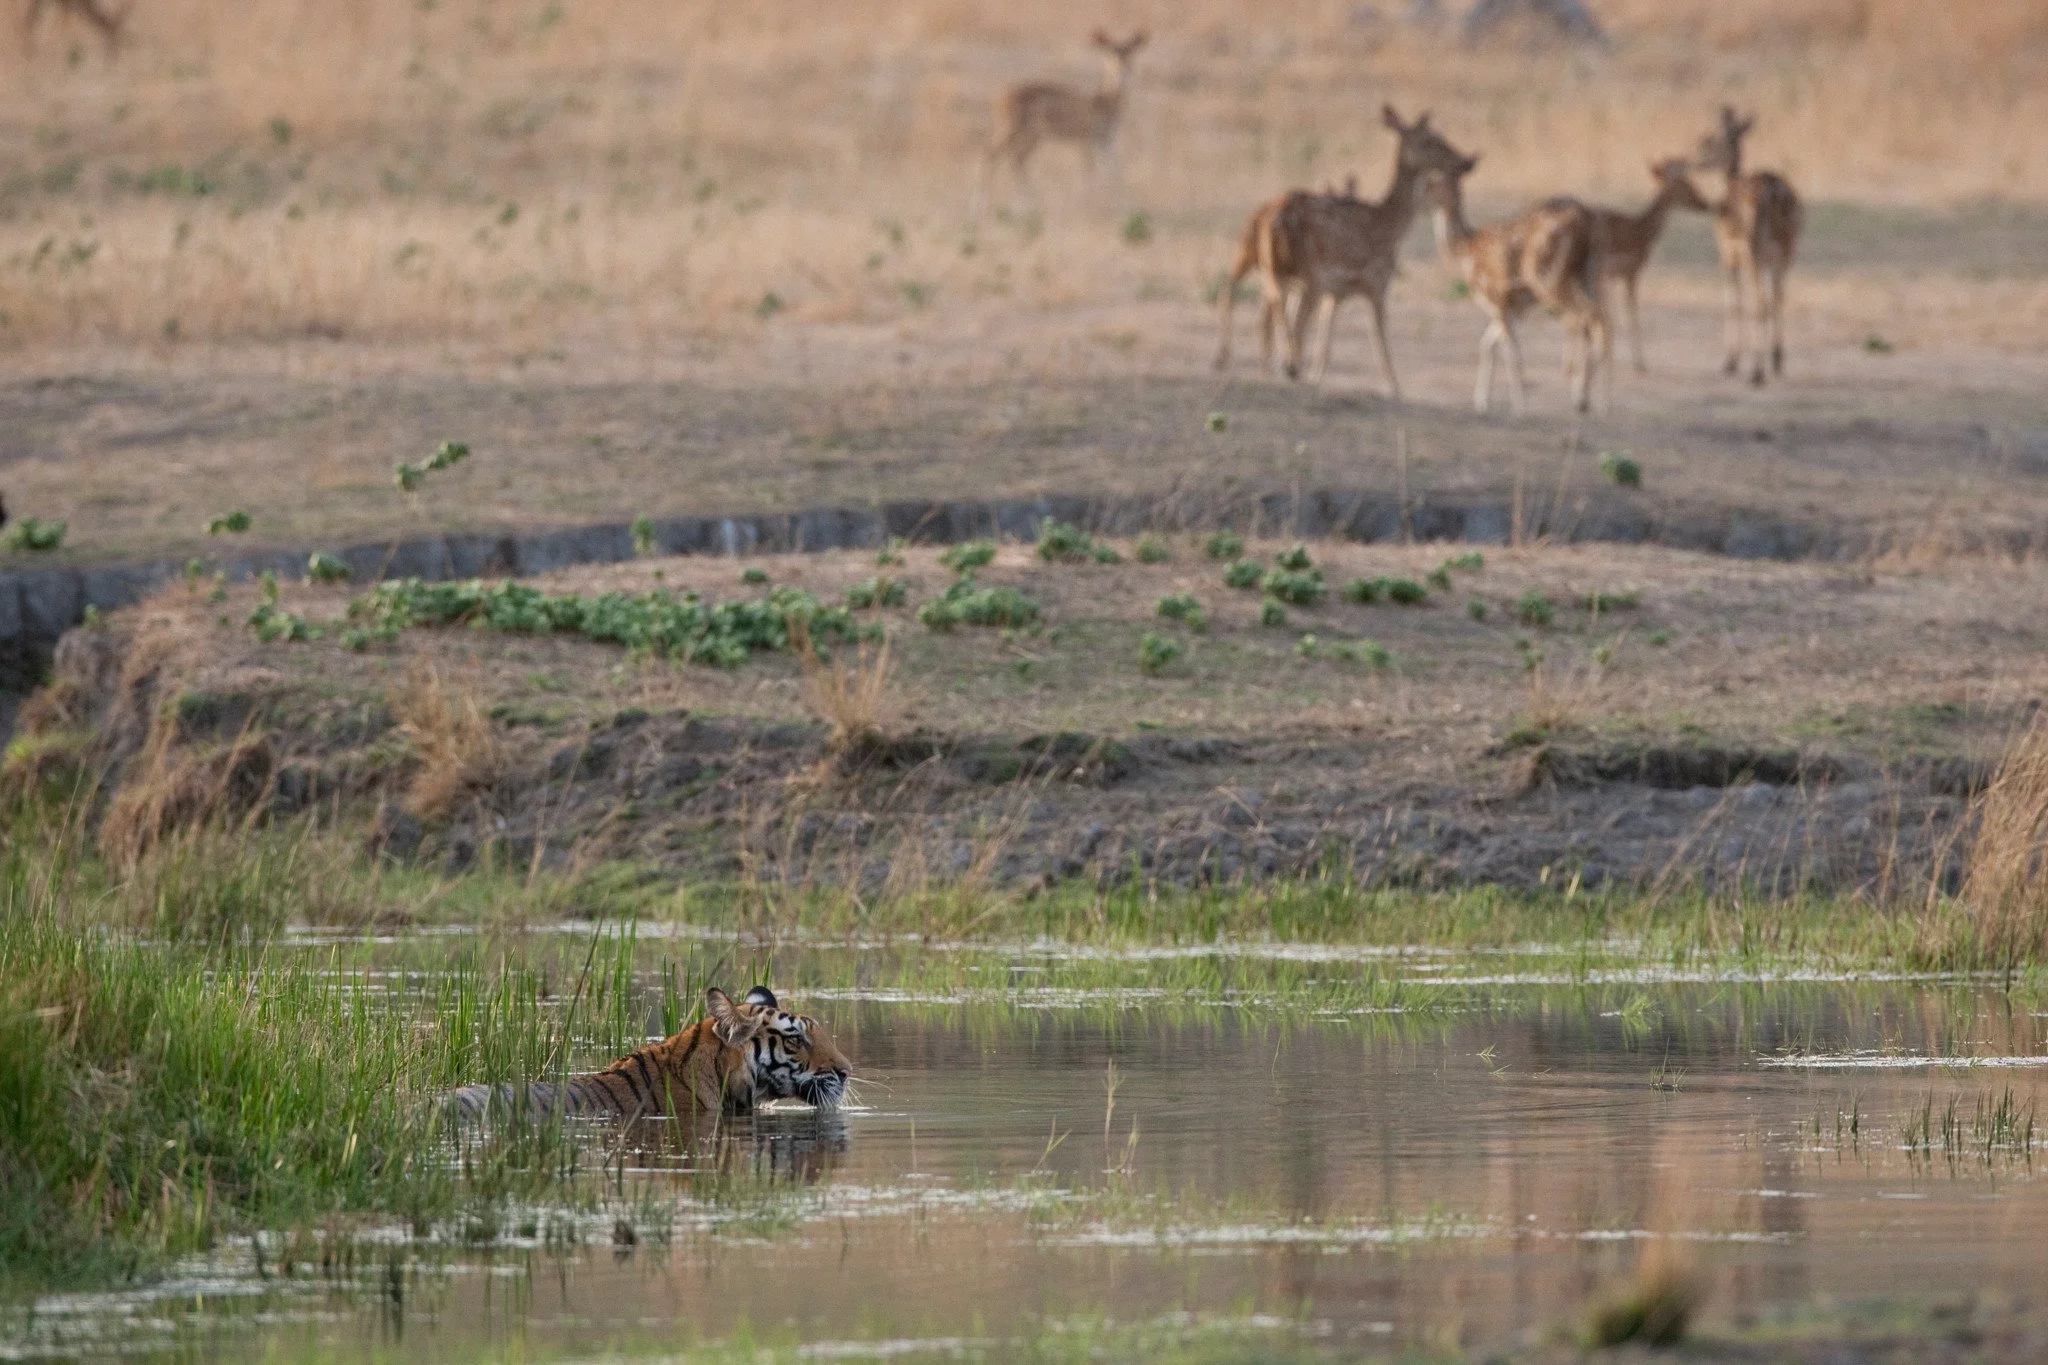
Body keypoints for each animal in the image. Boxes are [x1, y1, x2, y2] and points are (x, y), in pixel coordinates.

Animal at [985, 30, 1147, 191]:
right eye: (1110, 52)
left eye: (1130, 52)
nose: (1122, 69)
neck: (1105, 103)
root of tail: (997, 97)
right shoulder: (1087, 139)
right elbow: (1090, 170)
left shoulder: (1106, 140)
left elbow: (1115, 170)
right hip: (1010, 128)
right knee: (992, 153)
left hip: (1033, 135)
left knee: (1018, 158)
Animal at [1212, 106, 1473, 399]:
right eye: (1431, 140)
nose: (1466, 162)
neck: (1387, 225)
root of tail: (1273, 216)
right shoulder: (1375, 283)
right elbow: (1379, 340)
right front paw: (1395, 387)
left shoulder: (1335, 292)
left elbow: (1326, 340)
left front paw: (1310, 376)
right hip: (1306, 273)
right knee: (1279, 311)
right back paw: (1285, 365)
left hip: (1271, 266)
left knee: (1255, 299)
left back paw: (1261, 364)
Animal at [1422, 146, 1612, 415]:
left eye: (1431, 181)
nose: (1417, 197)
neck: (1465, 255)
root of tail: (1586, 219)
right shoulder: (1513, 308)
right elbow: (1487, 345)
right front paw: (1482, 402)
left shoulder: (1498, 298)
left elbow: (1510, 352)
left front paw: (1520, 406)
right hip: (1591, 272)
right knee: (1602, 319)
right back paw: (1599, 401)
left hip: (1547, 276)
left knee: (1586, 317)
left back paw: (1582, 396)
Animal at [1693, 106, 1803, 385]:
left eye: (1711, 140)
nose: (1697, 160)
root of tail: (1774, 190)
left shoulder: (1726, 252)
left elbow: (1733, 302)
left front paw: (1730, 362)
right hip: (1787, 247)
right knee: (1778, 297)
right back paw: (1776, 360)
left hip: (1755, 247)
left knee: (1760, 302)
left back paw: (1757, 372)